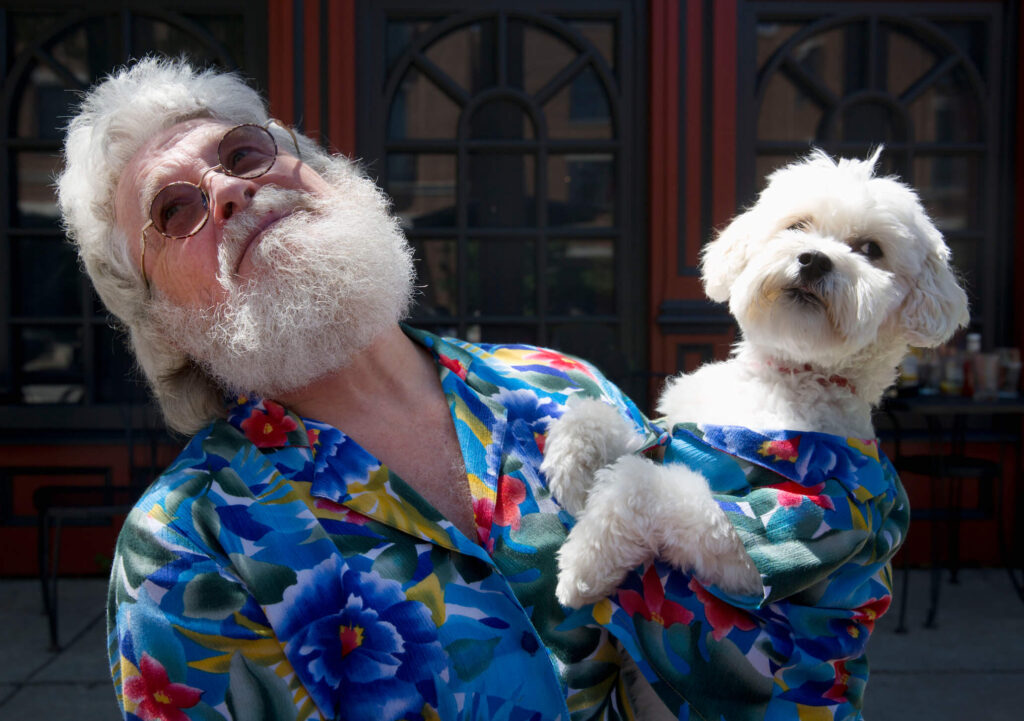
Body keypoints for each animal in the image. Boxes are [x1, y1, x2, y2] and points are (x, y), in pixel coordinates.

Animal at [544, 146, 966, 614]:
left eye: (871, 249)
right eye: (797, 225)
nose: (814, 259)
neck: (786, 378)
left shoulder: (778, 532)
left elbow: (644, 484)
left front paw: (585, 563)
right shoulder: (670, 429)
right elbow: (605, 418)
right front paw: (572, 467)